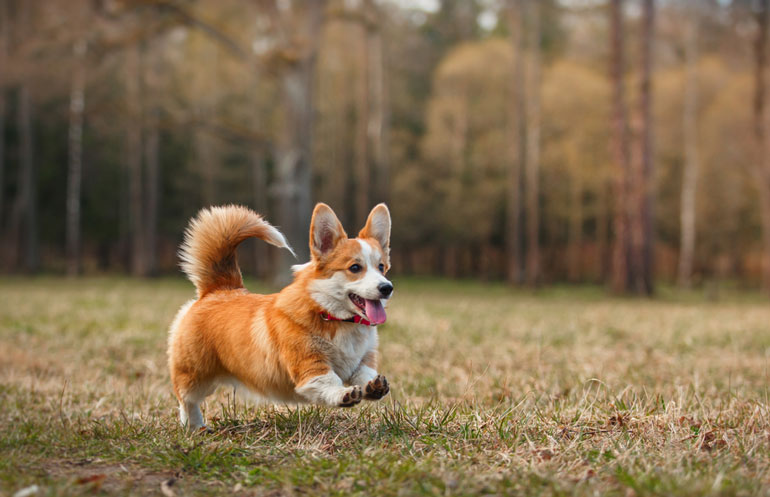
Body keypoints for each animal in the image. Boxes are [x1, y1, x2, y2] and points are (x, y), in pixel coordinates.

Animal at [166, 202, 392, 430]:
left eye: (381, 267)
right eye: (355, 267)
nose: (387, 288)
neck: (334, 317)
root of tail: (218, 289)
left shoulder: (363, 360)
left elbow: (364, 374)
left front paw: (374, 386)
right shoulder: (310, 366)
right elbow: (329, 381)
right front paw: (342, 394)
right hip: (195, 375)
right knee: (186, 399)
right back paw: (194, 426)